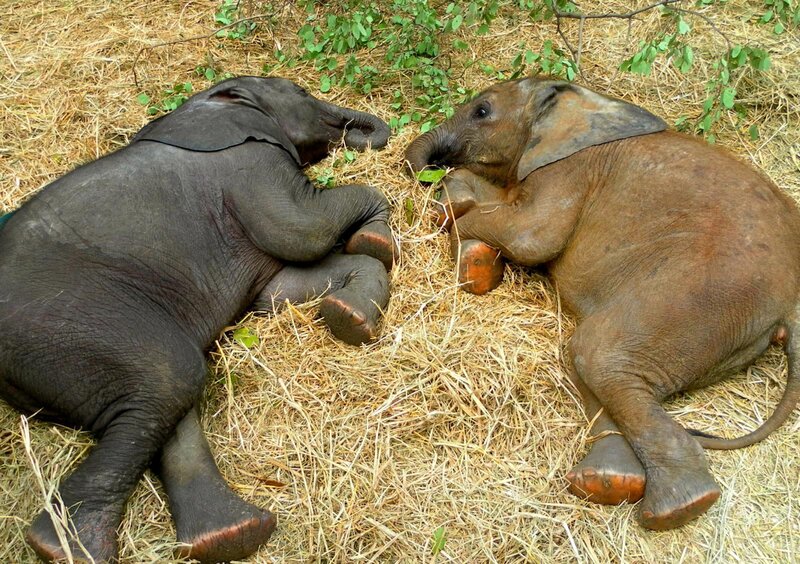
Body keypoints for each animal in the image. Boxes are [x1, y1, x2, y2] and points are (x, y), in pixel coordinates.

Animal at [0, 76, 395, 562]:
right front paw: (377, 240)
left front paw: (347, 313)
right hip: (65, 321)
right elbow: (303, 230)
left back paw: (229, 536)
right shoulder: (249, 166)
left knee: (154, 401)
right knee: (172, 375)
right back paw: (67, 548)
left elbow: (278, 289)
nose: (356, 131)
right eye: (300, 91)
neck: (204, 107)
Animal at [405, 76, 800, 530]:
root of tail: (791, 308)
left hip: (706, 295)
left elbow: (531, 236)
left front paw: (449, 214)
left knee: (596, 352)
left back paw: (677, 509)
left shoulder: (570, 171)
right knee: (596, 364)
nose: (430, 168)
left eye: (482, 111)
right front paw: (469, 240)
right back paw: (608, 483)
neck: (580, 100)